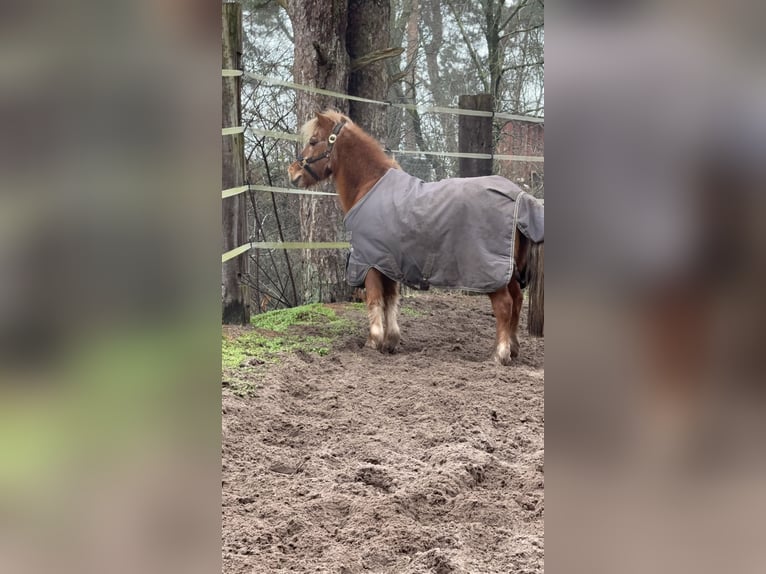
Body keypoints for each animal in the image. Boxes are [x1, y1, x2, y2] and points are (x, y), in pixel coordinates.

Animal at [290, 110, 544, 366]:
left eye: (313, 141)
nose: (293, 172)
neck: (369, 185)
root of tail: (520, 197)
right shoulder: (387, 263)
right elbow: (391, 301)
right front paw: (390, 342)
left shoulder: (370, 263)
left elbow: (374, 300)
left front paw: (373, 342)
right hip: (509, 271)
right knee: (517, 300)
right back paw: (512, 349)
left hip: (491, 274)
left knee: (505, 305)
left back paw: (499, 354)